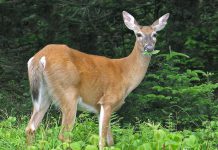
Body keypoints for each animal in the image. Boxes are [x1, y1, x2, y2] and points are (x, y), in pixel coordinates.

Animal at [25, 10, 169, 149]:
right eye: (138, 34)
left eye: (155, 34)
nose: (149, 47)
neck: (125, 74)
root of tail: (40, 57)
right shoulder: (108, 100)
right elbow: (102, 141)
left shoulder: (99, 108)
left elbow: (111, 141)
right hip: (68, 93)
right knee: (64, 135)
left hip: (43, 95)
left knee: (30, 128)